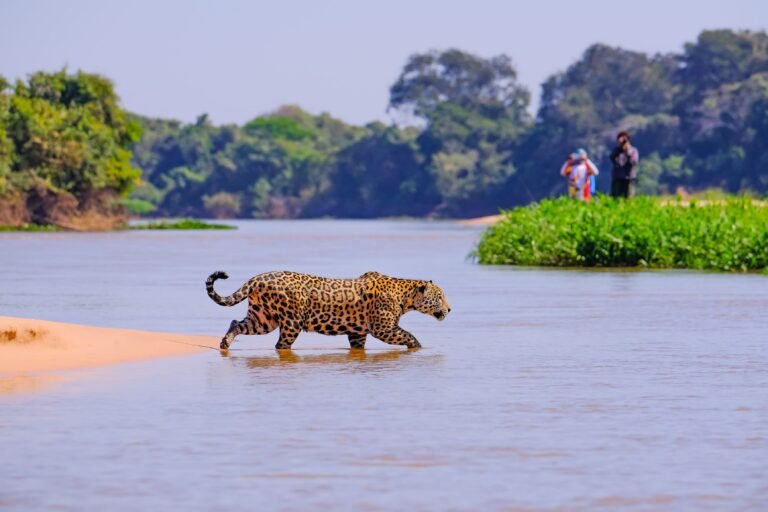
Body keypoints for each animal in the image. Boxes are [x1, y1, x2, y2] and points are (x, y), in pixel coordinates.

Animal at [206, 270, 451, 350]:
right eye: (439, 296)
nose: (449, 309)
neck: (404, 295)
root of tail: (257, 278)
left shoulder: (357, 332)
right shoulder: (384, 328)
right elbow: (409, 335)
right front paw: (419, 348)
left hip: (263, 318)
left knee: (237, 323)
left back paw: (225, 343)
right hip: (291, 322)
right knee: (280, 345)